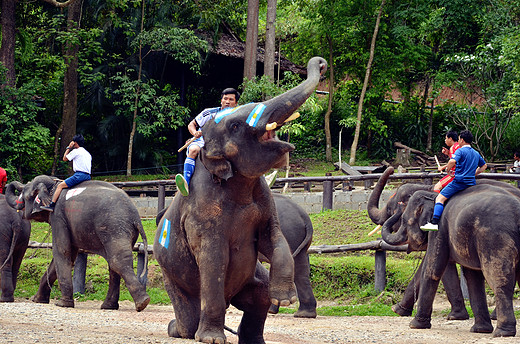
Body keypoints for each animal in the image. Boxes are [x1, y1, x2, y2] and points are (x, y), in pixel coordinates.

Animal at [5, 177, 149, 312]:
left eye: (25, 194)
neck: (54, 184)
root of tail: (136, 217)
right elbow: (70, 254)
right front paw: (37, 300)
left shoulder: (57, 216)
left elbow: (62, 251)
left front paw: (63, 304)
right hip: (123, 230)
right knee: (114, 263)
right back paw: (109, 306)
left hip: (114, 227)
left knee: (117, 261)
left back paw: (142, 303)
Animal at [152, 57, 328, 344]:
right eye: (235, 126)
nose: (320, 62)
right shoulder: (202, 211)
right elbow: (213, 258)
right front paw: (211, 340)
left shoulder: (265, 201)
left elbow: (273, 237)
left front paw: (285, 299)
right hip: (171, 277)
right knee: (188, 320)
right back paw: (181, 329)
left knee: (259, 297)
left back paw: (256, 337)